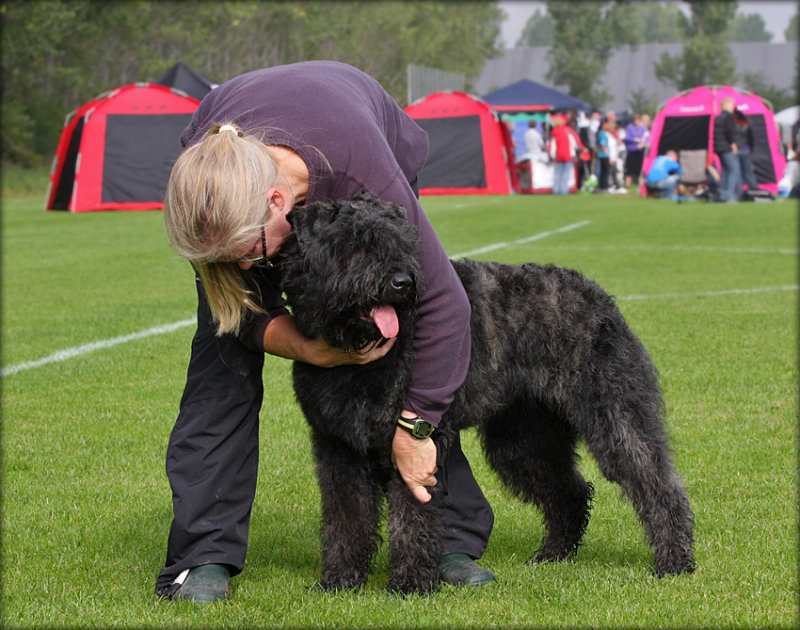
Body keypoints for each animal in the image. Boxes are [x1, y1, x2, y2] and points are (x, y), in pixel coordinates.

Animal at [276, 194, 692, 596]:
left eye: (404, 244)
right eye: (355, 244)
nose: (401, 282)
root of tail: (598, 296)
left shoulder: (414, 444)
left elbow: (412, 516)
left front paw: (410, 584)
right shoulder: (338, 447)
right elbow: (346, 519)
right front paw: (339, 580)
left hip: (615, 415)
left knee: (656, 481)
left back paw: (675, 561)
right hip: (524, 439)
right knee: (570, 491)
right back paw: (554, 554)